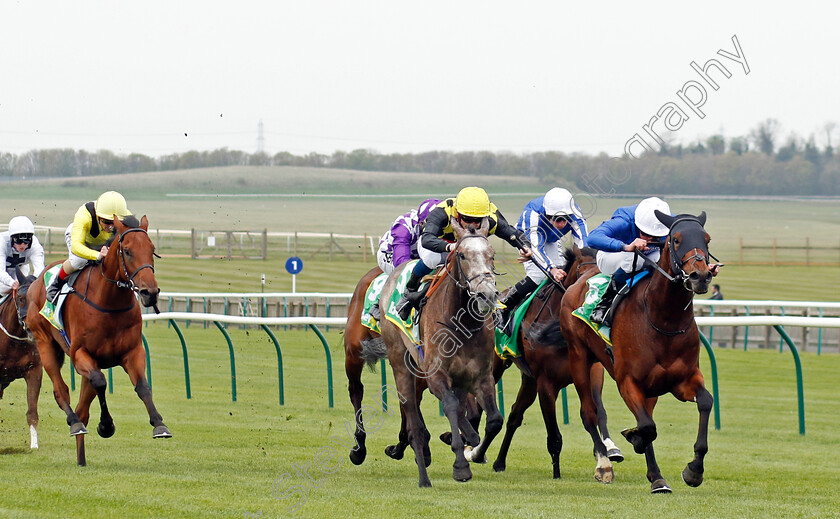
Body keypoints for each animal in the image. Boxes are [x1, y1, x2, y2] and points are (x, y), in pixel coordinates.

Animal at [24, 215, 170, 468]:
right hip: (45, 343)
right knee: (62, 391)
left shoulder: (133, 352)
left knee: (83, 407)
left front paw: (159, 424)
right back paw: (74, 422)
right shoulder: (80, 354)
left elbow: (143, 386)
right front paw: (106, 425)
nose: (149, 292)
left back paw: (81, 457)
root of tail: (38, 280)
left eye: (152, 249)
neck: (109, 302)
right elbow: (101, 382)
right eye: (128, 251)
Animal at [360, 216, 498, 488]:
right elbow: (451, 407)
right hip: (402, 366)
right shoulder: (436, 375)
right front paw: (461, 466)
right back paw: (423, 478)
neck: (462, 323)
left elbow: (494, 420)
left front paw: (475, 450)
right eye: (462, 255)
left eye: (492, 255)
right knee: (414, 424)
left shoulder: (482, 376)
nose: (487, 295)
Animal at [472, 248, 624, 480]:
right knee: (480, 404)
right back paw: (473, 449)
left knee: (515, 415)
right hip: (498, 366)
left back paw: (498, 461)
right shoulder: (546, 383)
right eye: (582, 274)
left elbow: (599, 411)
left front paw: (609, 449)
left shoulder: (593, 372)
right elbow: (554, 436)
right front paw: (557, 473)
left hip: (528, 379)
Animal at [556, 212, 716, 496]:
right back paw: (605, 465)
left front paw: (694, 470)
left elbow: (705, 402)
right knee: (589, 412)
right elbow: (647, 428)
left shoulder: (684, 380)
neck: (664, 320)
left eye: (706, 239)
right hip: (580, 357)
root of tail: (580, 278)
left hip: (650, 388)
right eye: (676, 240)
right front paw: (634, 440)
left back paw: (657, 477)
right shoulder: (627, 381)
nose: (701, 276)